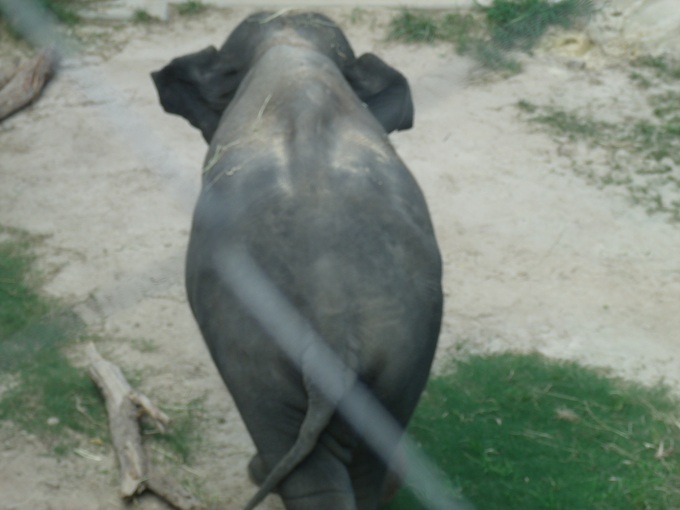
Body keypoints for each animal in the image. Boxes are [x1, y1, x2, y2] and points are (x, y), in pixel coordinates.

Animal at [152, 11, 442, 510]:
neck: (290, 47)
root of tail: (336, 331)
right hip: (401, 362)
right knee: (367, 466)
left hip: (259, 362)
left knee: (307, 471)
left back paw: (260, 470)